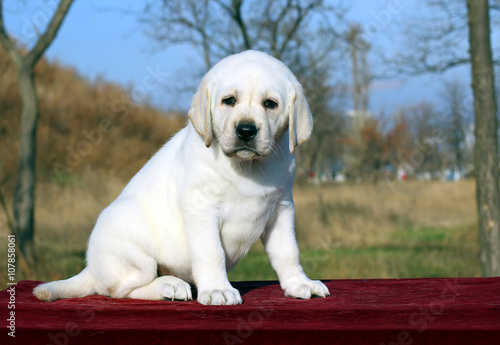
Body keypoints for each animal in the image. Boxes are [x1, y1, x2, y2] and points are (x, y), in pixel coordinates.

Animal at [36, 50, 332, 304]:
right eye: (229, 101)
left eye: (270, 104)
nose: (246, 130)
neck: (248, 168)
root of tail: (91, 268)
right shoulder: (201, 208)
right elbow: (211, 252)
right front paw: (217, 289)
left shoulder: (281, 207)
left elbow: (288, 252)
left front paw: (299, 283)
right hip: (132, 247)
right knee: (119, 289)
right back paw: (169, 285)